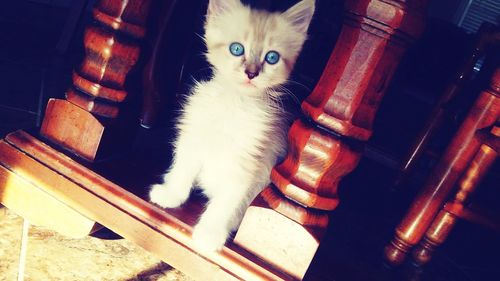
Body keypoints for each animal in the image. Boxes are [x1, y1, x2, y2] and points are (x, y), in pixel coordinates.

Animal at [148, 0, 314, 252]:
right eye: (237, 49)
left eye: (272, 57)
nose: (252, 73)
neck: (234, 103)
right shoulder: (193, 139)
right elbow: (182, 169)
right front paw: (172, 194)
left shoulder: (247, 164)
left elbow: (225, 203)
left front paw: (210, 233)